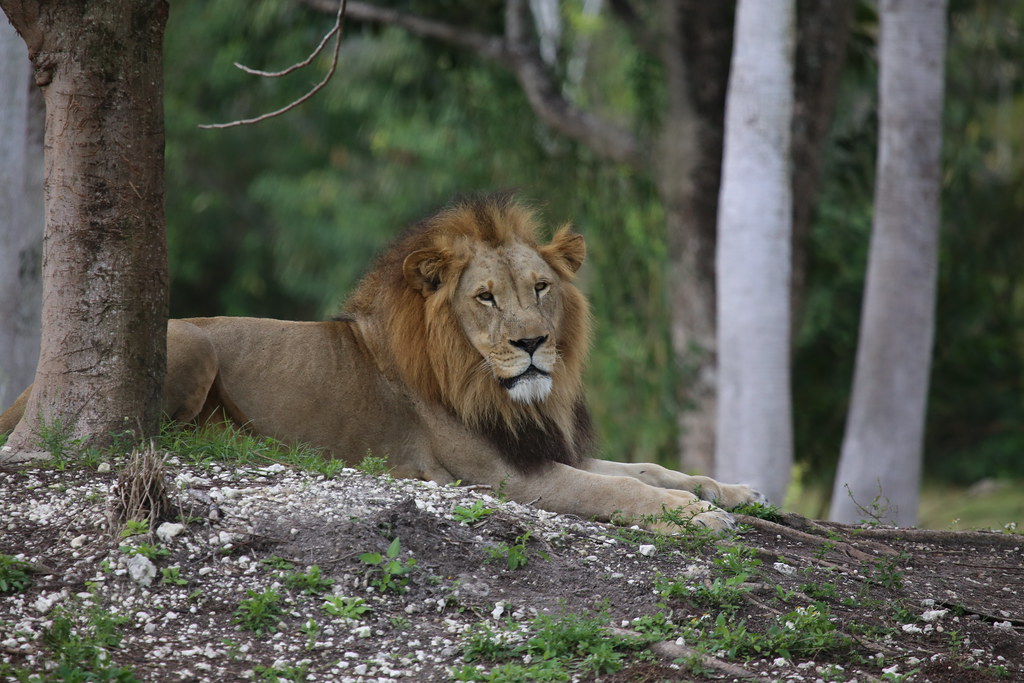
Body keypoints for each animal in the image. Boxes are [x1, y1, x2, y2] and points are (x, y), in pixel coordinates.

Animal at [1, 194, 763, 530]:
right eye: (485, 297)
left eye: (541, 288)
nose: (531, 343)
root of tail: (30, 387)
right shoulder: (505, 475)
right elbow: (618, 491)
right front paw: (693, 514)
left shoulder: (542, 446)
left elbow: (646, 468)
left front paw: (727, 491)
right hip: (184, 345)